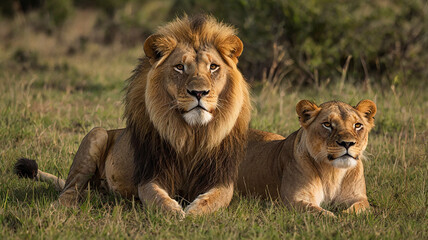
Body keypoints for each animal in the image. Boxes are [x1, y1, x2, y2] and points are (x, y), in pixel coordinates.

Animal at [15, 14, 251, 218]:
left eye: (213, 67)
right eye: (179, 67)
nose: (199, 93)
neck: (191, 135)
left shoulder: (221, 179)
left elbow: (216, 198)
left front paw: (194, 211)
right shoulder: (150, 175)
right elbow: (157, 198)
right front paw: (175, 212)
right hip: (96, 134)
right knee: (70, 188)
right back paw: (61, 205)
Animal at [239, 98, 376, 217]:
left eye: (357, 125)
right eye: (327, 124)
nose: (347, 143)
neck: (333, 172)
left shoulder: (358, 198)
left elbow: (358, 208)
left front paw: (345, 215)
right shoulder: (294, 200)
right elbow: (321, 213)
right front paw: (336, 217)